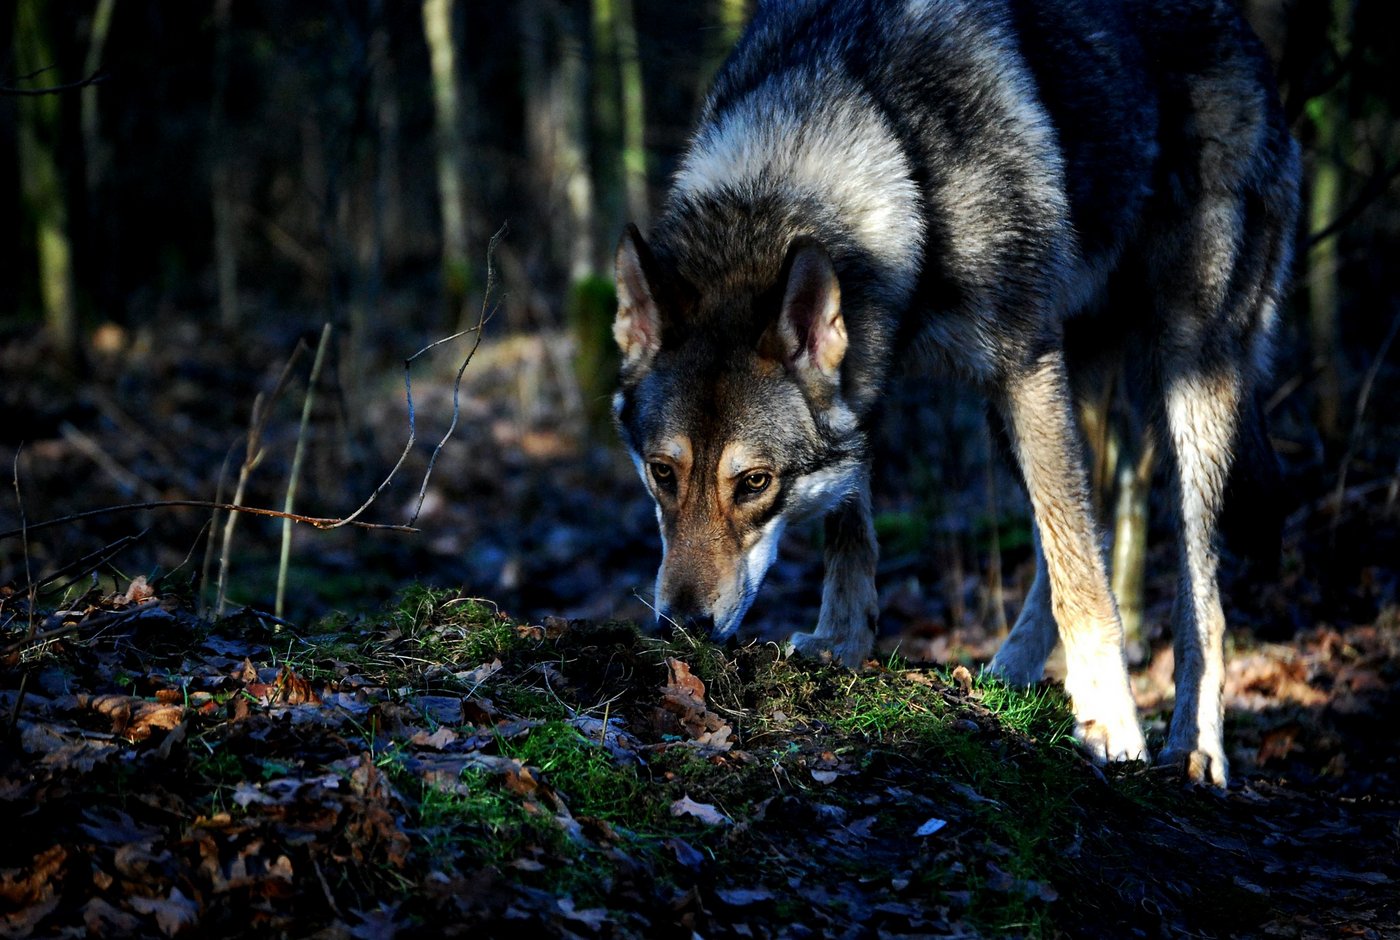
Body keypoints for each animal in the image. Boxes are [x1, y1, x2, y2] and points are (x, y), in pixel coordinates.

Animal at [611, 0, 1299, 785]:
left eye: (754, 482)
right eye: (662, 473)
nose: (682, 628)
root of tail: (1247, 36)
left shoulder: (1025, 363)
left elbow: (1083, 577)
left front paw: (1111, 722)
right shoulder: (879, 380)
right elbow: (853, 528)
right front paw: (841, 641)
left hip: (1182, 381)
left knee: (1191, 586)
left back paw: (1194, 746)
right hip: (1028, 407)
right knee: (1080, 527)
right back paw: (1009, 676)